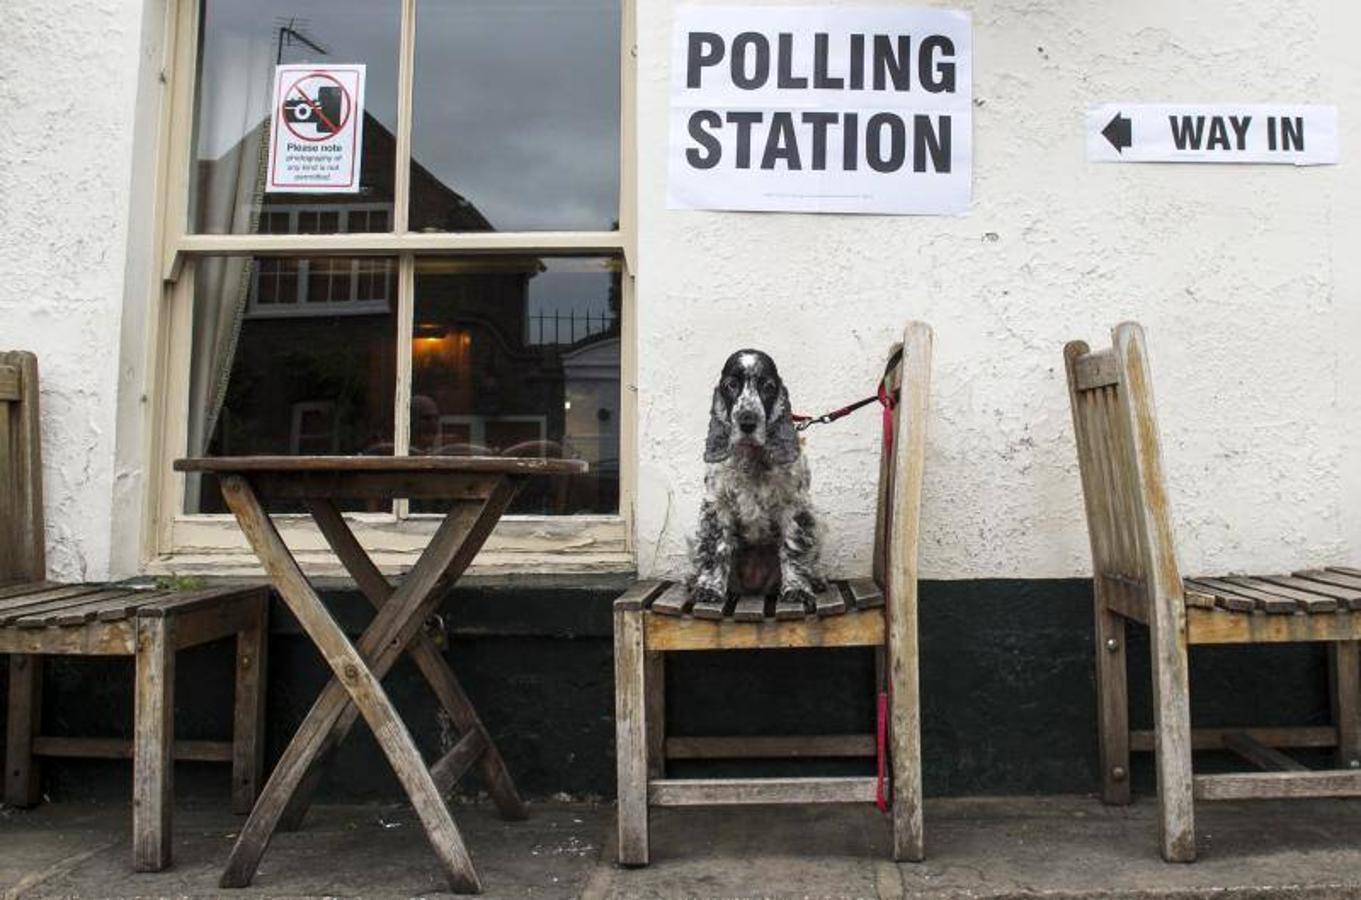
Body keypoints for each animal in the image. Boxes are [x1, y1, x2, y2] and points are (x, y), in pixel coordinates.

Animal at [685, 347, 822, 615]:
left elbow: (793, 547)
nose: (747, 422)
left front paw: (797, 589)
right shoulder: (716, 504)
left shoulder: (795, 505)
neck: (752, 458)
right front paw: (708, 588)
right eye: (731, 385)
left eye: (768, 386)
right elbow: (715, 547)